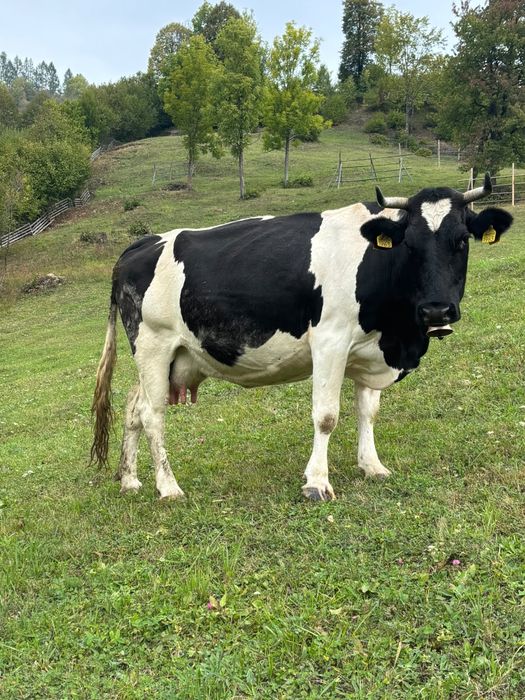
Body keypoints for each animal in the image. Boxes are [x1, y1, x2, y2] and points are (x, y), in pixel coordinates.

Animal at [91, 174, 513, 501]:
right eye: (410, 244)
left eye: (462, 240)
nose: (437, 311)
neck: (398, 337)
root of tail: (142, 243)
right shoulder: (330, 340)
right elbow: (326, 416)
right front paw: (316, 483)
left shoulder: (370, 348)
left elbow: (368, 411)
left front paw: (372, 466)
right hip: (153, 345)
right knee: (152, 415)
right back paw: (168, 487)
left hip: (170, 356)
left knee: (133, 408)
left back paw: (129, 479)